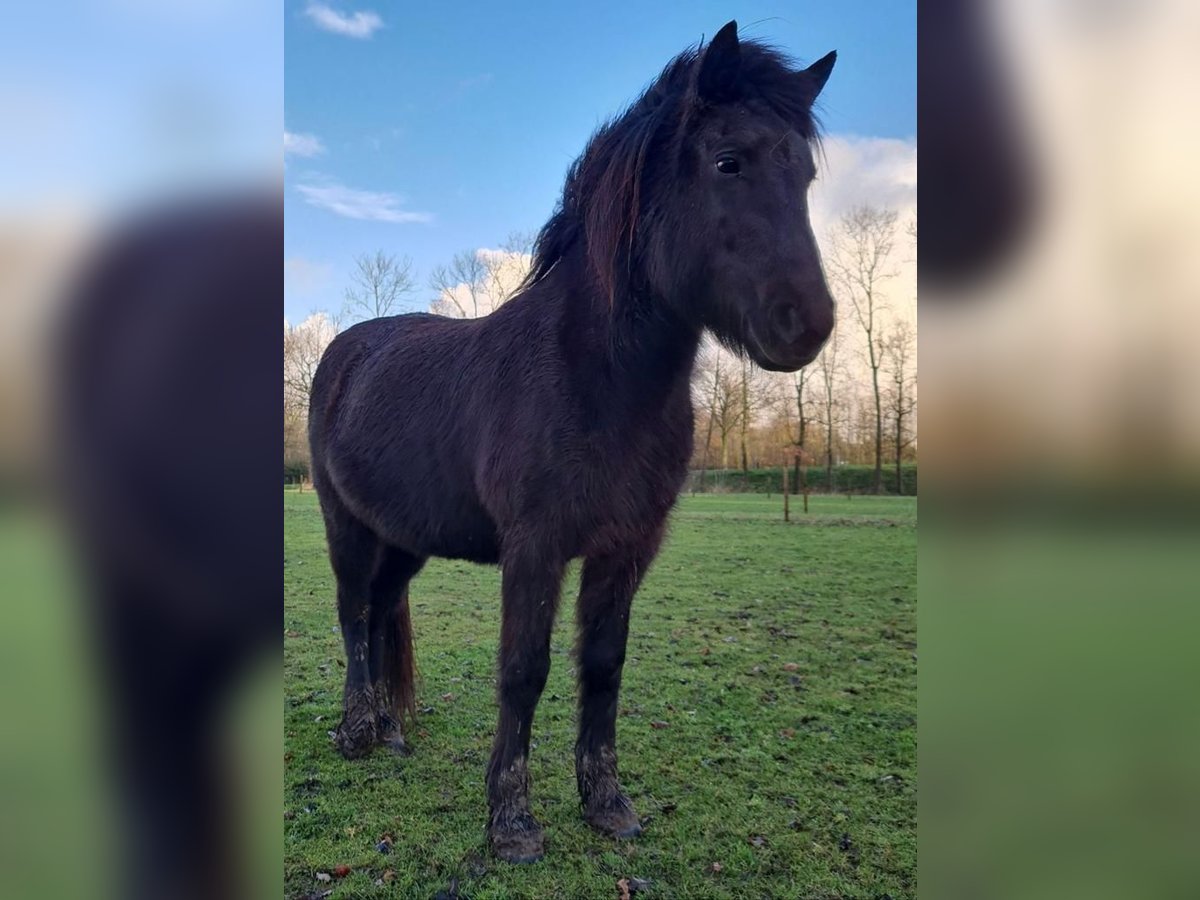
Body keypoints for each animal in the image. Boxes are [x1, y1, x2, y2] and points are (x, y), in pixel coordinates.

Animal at [309, 21, 835, 868]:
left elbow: (603, 668)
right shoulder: (536, 547)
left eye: (807, 173)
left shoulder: (627, 547)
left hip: (406, 537)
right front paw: (512, 823)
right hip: (344, 524)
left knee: (384, 609)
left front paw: (608, 804)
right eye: (729, 160)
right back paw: (357, 731)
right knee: (354, 612)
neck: (596, 381)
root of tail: (344, 352)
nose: (806, 324)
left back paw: (390, 730)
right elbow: (523, 671)